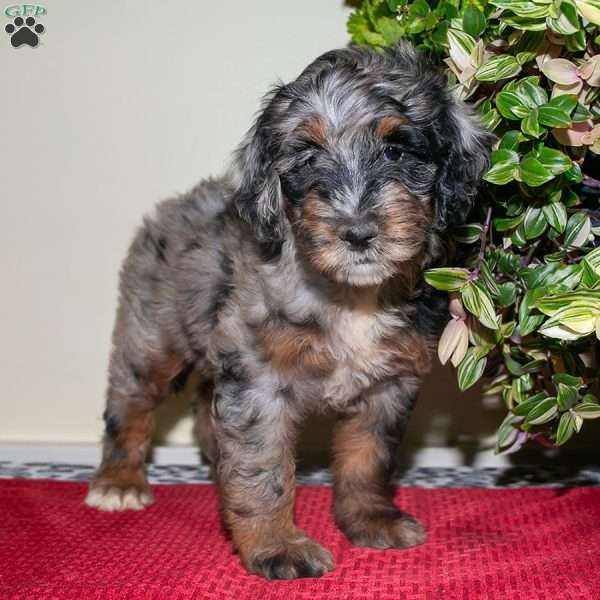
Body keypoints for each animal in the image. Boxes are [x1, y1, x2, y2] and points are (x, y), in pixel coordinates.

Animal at [85, 44, 492, 580]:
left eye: (397, 151)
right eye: (307, 156)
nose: (357, 233)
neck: (349, 295)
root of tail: (173, 206)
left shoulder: (389, 385)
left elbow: (368, 458)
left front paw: (370, 519)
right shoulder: (259, 379)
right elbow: (264, 467)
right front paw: (277, 544)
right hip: (153, 334)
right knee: (129, 401)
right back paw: (119, 481)